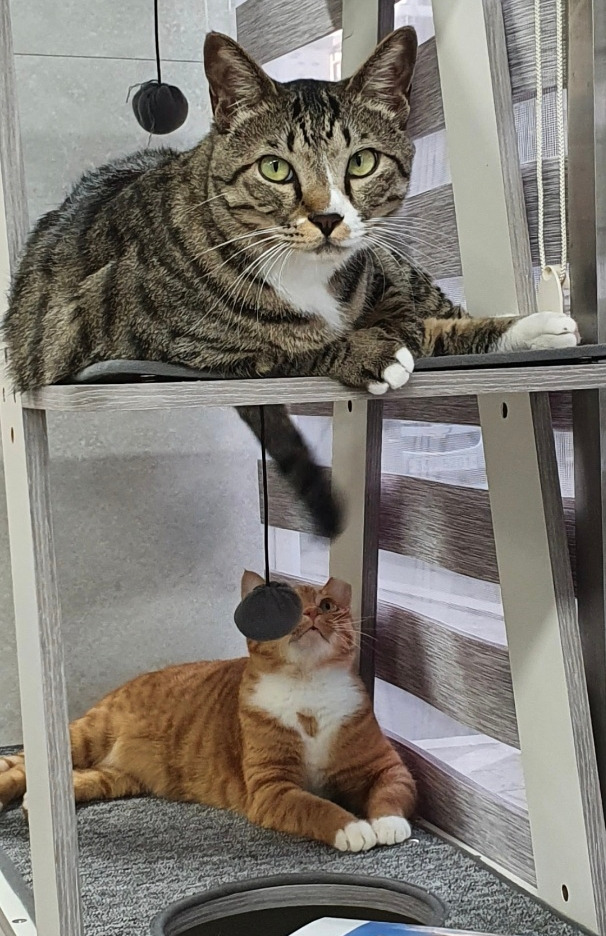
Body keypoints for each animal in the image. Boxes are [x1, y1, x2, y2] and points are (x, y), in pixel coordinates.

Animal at [0, 572, 416, 852]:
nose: (313, 612)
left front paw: (388, 823)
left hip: (115, 776)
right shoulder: (273, 788)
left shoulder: (386, 766)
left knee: (77, 778)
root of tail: (123, 685)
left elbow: (391, 791)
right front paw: (353, 828)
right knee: (20, 768)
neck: (307, 685)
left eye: (328, 605)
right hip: (84, 738)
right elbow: (316, 806)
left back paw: (38, 806)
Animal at [3, 27, 579, 537]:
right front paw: (370, 352)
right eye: (276, 168)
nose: (326, 217)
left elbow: (429, 326)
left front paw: (526, 329)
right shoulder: (175, 343)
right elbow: (288, 343)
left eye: (362, 162)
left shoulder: (386, 283)